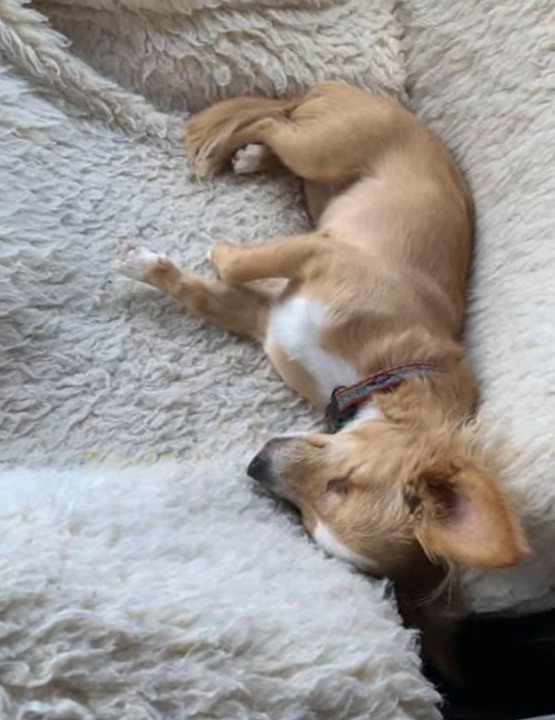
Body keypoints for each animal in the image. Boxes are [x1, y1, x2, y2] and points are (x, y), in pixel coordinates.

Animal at [118, 84, 528, 632]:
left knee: (276, 125)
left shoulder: (266, 315)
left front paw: (151, 267)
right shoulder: (319, 253)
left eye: (308, 521)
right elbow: (238, 263)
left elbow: (202, 293)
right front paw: (214, 251)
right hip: (322, 149)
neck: (376, 374)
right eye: (343, 483)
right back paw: (234, 148)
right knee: (272, 119)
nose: (255, 463)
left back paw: (250, 157)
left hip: (317, 175)